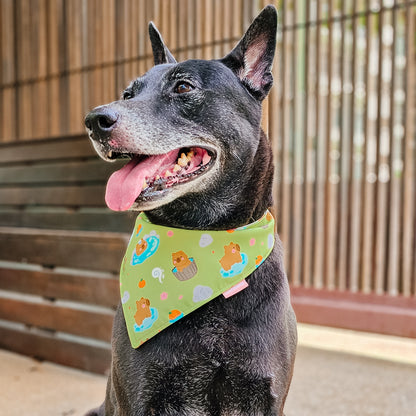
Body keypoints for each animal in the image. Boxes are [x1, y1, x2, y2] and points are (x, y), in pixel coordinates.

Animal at [84, 4, 298, 414]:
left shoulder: (264, 395)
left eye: (183, 87)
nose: (94, 121)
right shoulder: (140, 396)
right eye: (128, 93)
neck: (204, 238)